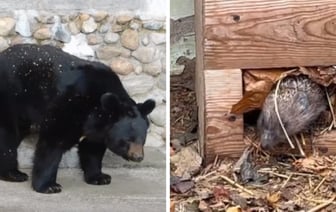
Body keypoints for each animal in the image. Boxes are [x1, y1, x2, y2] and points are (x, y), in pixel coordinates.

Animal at [0, 44, 156, 194]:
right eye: (127, 140)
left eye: (142, 139)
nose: (138, 156)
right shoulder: (70, 104)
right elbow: (53, 142)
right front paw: (49, 186)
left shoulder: (98, 128)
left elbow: (92, 148)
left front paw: (100, 177)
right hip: (11, 96)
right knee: (7, 135)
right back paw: (14, 173)